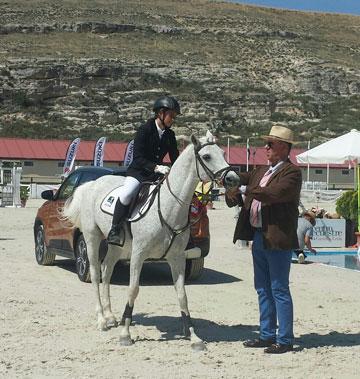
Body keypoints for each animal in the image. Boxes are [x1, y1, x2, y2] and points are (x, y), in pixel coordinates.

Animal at [63, 131, 240, 350]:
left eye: (223, 153)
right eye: (207, 156)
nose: (234, 179)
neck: (169, 206)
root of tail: (91, 184)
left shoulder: (177, 257)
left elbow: (182, 295)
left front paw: (194, 337)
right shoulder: (138, 255)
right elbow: (133, 290)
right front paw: (125, 334)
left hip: (116, 246)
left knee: (107, 271)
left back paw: (111, 316)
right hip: (91, 238)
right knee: (96, 274)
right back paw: (102, 320)